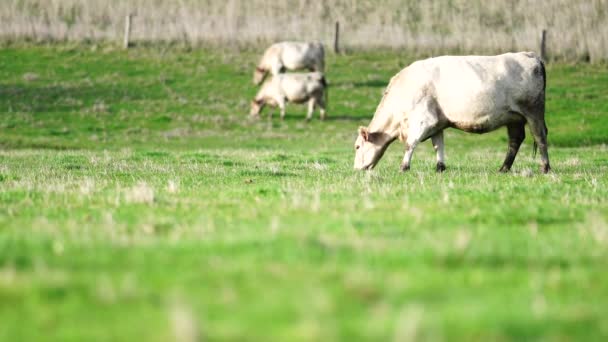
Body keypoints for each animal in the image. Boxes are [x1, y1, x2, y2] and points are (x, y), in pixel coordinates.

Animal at [352, 52, 552, 174]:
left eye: (357, 147)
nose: (355, 169)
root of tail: (529, 55)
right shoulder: (437, 122)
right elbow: (438, 145)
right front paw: (440, 167)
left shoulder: (423, 119)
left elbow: (410, 144)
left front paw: (403, 167)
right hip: (514, 118)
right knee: (515, 140)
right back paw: (503, 168)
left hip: (533, 112)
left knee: (540, 138)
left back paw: (545, 168)